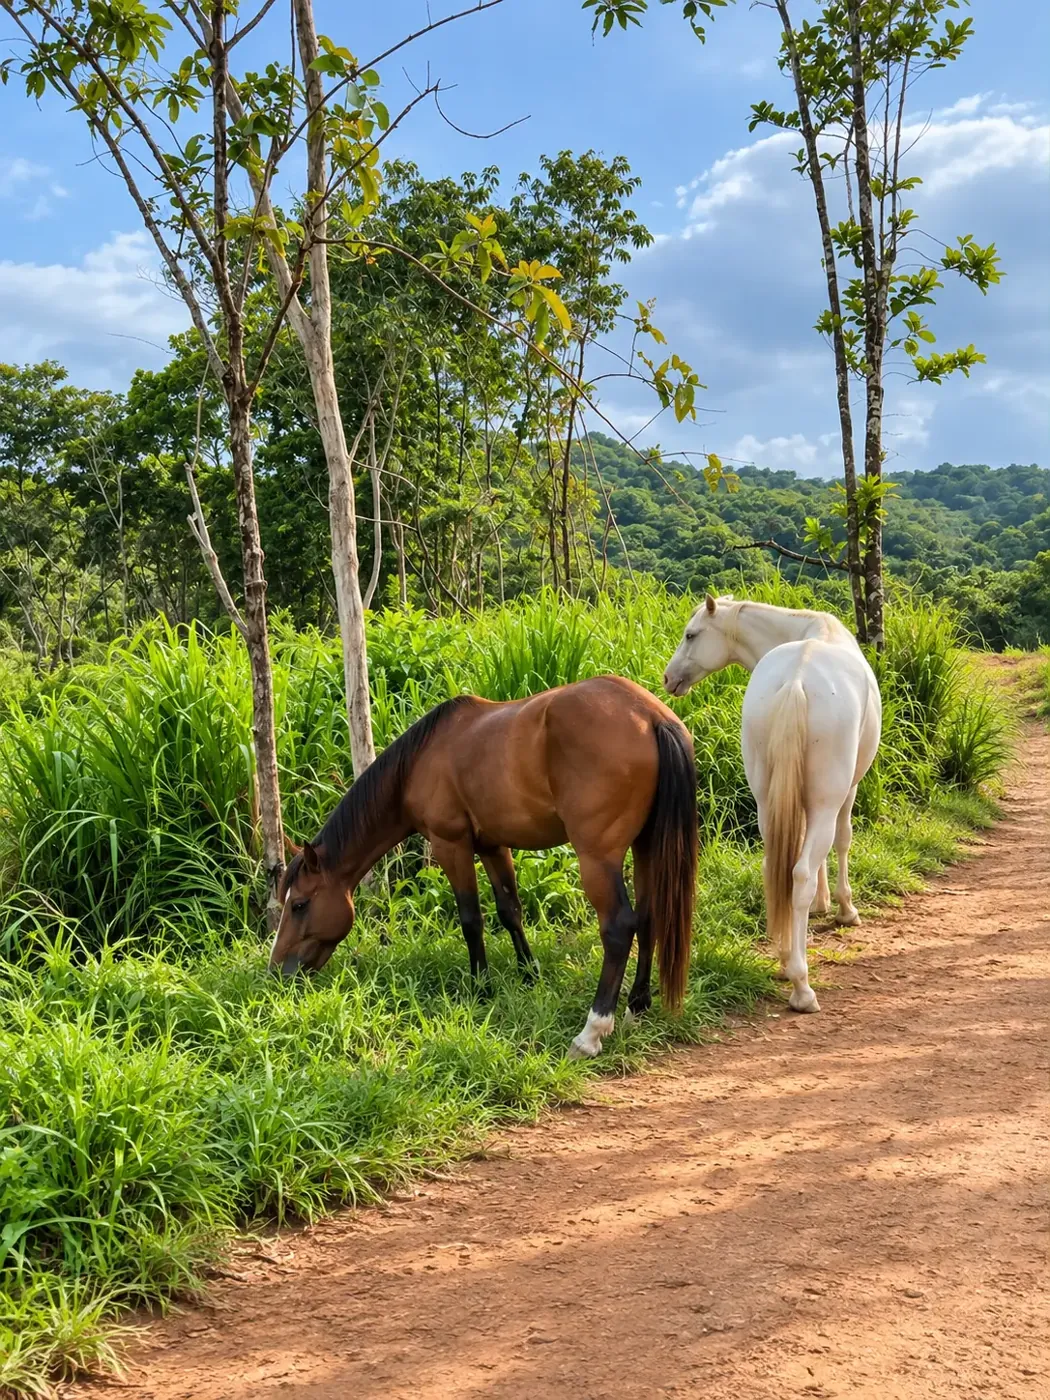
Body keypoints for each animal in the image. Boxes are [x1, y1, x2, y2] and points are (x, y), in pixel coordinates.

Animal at [269, 675, 698, 1059]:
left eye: (300, 905)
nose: (278, 972)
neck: (421, 760)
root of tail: (650, 717)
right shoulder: (493, 845)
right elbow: (510, 910)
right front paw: (529, 973)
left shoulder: (451, 845)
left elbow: (471, 918)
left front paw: (481, 988)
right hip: (645, 846)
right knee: (649, 916)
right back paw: (637, 1006)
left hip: (597, 858)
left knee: (619, 927)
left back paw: (591, 1033)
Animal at [663, 594, 881, 1014]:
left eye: (691, 634)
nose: (668, 678)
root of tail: (796, 680)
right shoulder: (846, 793)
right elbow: (843, 841)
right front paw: (844, 909)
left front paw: (822, 905)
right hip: (827, 800)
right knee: (799, 874)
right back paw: (801, 984)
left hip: (767, 799)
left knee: (775, 868)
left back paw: (784, 959)